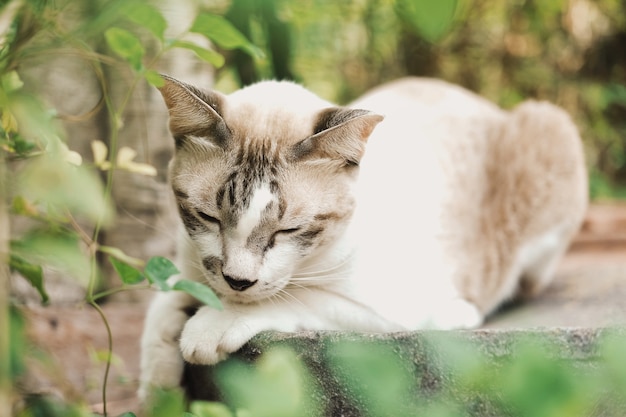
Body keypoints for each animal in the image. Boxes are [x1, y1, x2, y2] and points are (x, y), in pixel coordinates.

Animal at [136, 74, 584, 396]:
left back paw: (460, 313)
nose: (237, 280)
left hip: (550, 132)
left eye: (288, 230)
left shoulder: (383, 305)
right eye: (208, 217)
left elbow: (294, 296)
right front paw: (157, 383)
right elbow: (166, 301)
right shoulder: (190, 266)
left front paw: (210, 324)